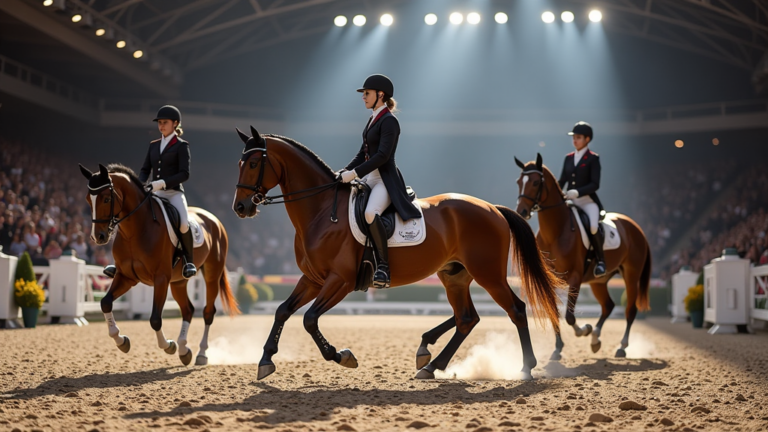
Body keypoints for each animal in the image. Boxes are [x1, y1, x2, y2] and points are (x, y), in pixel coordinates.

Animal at [79, 164, 237, 366]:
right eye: (88, 200)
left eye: (106, 198)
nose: (98, 237)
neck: (135, 230)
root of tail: (213, 218)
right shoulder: (126, 276)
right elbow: (105, 303)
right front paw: (121, 341)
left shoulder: (161, 278)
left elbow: (155, 319)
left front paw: (169, 346)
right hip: (178, 282)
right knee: (188, 309)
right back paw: (184, 350)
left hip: (211, 274)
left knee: (208, 311)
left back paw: (201, 354)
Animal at [230, 127, 564, 382]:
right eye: (239, 162)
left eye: (253, 163)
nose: (240, 208)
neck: (323, 211)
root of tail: (492, 208)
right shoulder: (312, 279)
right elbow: (282, 310)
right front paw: (265, 361)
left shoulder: (340, 281)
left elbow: (310, 319)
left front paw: (342, 356)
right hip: (454, 276)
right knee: (466, 318)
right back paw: (431, 364)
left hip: (489, 274)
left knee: (515, 310)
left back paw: (525, 368)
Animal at [512, 154, 652, 360]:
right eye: (519, 182)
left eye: (536, 182)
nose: (521, 212)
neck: (556, 232)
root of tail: (636, 227)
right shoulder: (551, 278)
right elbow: (554, 312)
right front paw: (558, 348)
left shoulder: (575, 277)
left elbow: (570, 316)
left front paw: (584, 330)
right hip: (598, 282)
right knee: (608, 306)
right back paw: (595, 339)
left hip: (631, 276)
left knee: (630, 310)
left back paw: (621, 347)